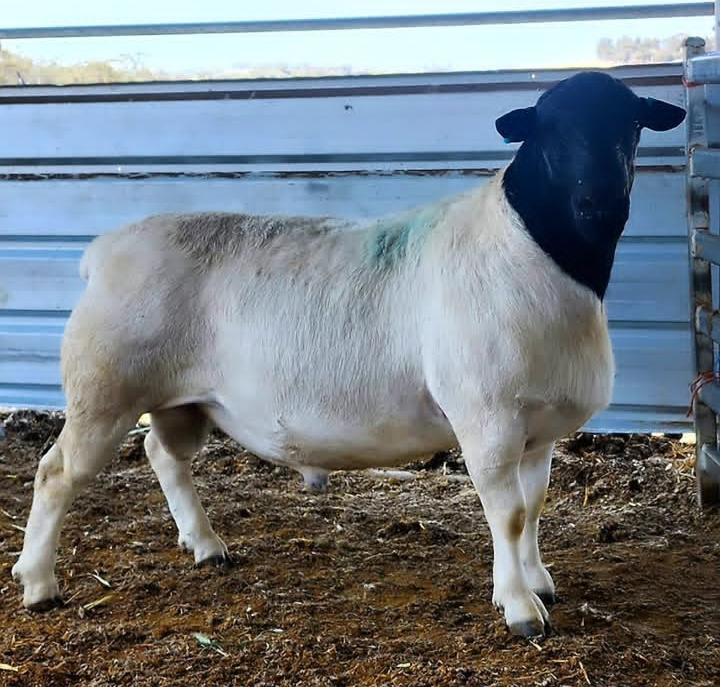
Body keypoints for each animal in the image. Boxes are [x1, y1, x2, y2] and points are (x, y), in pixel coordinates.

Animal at [11, 72, 685, 637]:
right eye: (549, 130)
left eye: (630, 124)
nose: (600, 203)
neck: (539, 251)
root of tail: (103, 250)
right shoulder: (486, 414)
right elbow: (509, 513)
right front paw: (520, 609)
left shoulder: (538, 428)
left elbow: (537, 506)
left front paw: (539, 582)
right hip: (105, 386)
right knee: (56, 472)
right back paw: (39, 584)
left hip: (182, 399)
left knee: (163, 455)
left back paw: (205, 546)